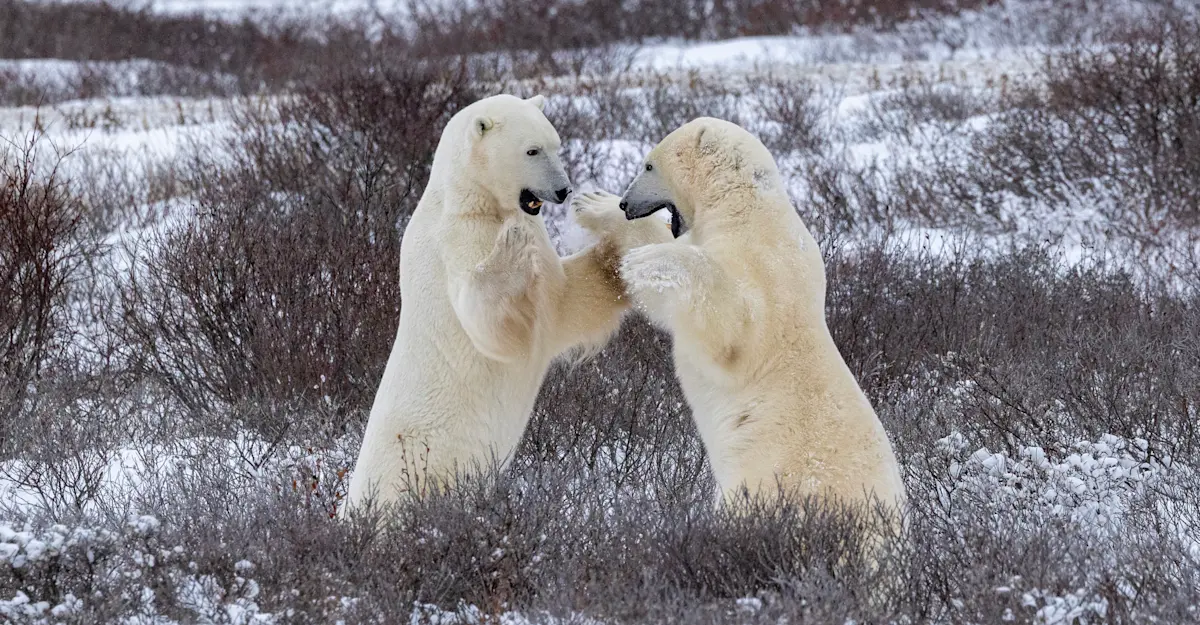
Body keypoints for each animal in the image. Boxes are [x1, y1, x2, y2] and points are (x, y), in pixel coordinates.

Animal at [343, 94, 672, 513]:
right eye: (532, 150)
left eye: (556, 145)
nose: (563, 190)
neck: (473, 200)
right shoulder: (455, 239)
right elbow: (487, 324)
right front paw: (511, 249)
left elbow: (571, 297)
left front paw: (606, 214)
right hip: (410, 471)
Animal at [613, 117, 906, 513]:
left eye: (648, 165)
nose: (624, 203)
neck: (745, 210)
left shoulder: (763, 272)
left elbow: (731, 330)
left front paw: (645, 262)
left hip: (771, 476)